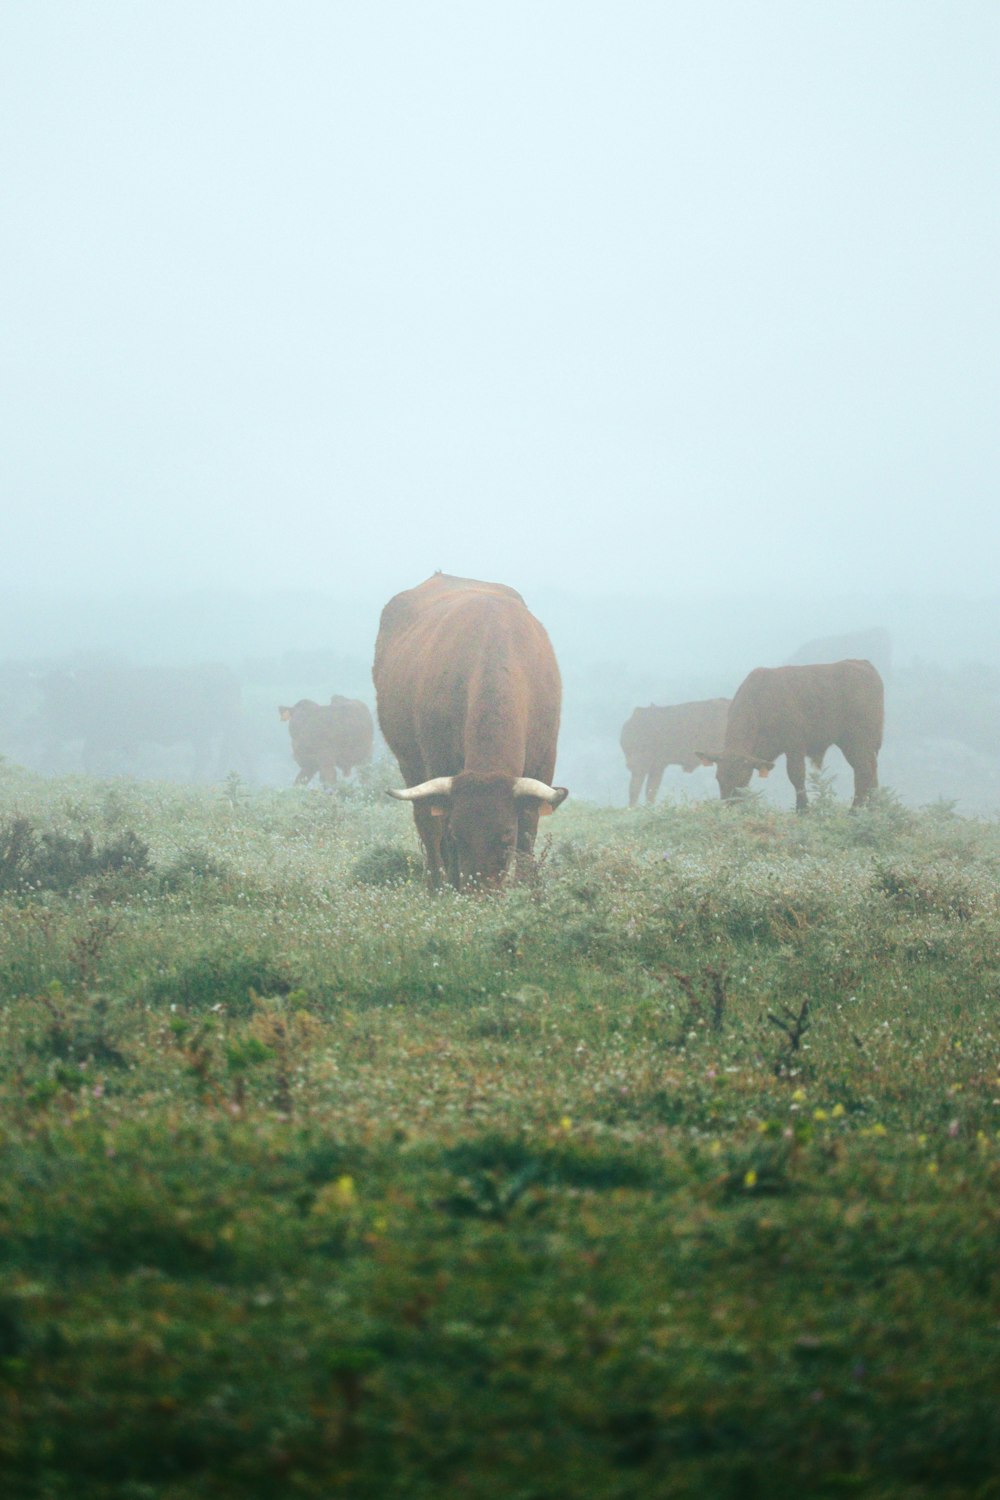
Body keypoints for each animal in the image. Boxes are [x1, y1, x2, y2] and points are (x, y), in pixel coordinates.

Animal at [373, 567, 566, 882]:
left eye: (506, 836)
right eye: (458, 835)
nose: (480, 891)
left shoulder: (544, 760)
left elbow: (529, 832)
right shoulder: (437, 760)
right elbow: (441, 838)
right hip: (410, 764)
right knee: (427, 827)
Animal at [695, 663, 881, 816]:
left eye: (741, 781)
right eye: (718, 778)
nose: (730, 808)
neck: (761, 700)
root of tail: (863, 665)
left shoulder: (794, 746)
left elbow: (796, 775)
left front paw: (803, 810)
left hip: (857, 741)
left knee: (863, 771)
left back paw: (854, 812)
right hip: (861, 745)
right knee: (871, 772)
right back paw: (875, 808)